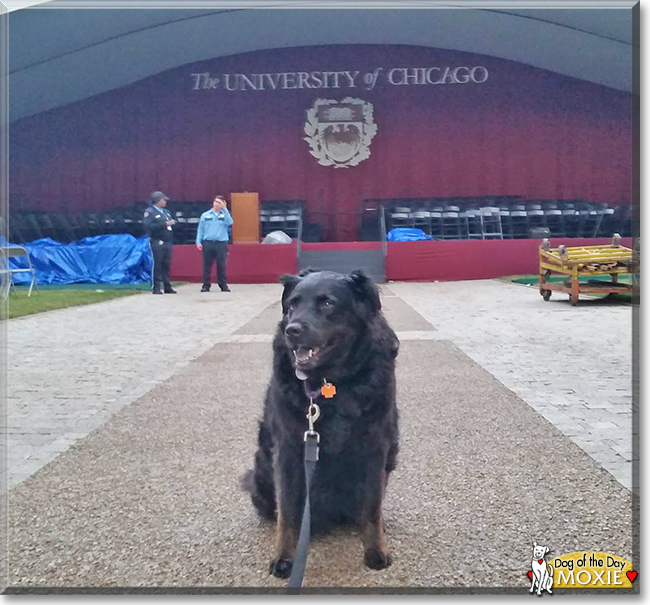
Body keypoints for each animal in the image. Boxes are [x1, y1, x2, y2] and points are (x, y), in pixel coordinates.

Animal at [240, 268, 398, 576]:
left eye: (327, 303)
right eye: (292, 305)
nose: (292, 330)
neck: (330, 382)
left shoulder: (376, 447)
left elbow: (372, 509)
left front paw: (375, 550)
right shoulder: (288, 449)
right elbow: (287, 512)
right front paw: (284, 557)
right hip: (262, 472)